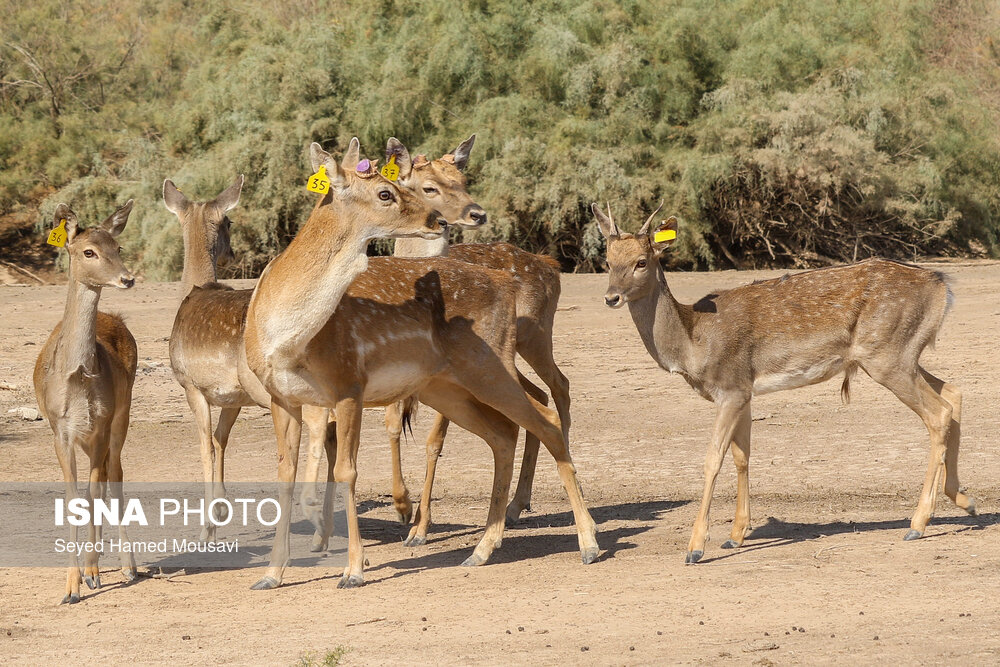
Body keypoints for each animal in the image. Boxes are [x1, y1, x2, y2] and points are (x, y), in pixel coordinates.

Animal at [34, 201, 139, 604]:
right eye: (88, 251)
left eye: (118, 246)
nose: (128, 278)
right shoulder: (59, 430)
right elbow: (73, 496)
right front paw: (71, 587)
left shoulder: (101, 424)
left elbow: (94, 490)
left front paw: (91, 574)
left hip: (123, 414)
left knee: (116, 475)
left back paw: (128, 566)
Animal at [245, 142, 596, 588]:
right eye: (385, 192)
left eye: (395, 182)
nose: (438, 219)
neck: (287, 340)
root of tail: (509, 281)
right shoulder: (282, 397)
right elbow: (284, 473)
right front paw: (271, 574)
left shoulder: (348, 383)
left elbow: (347, 470)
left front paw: (355, 570)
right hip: (444, 387)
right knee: (504, 432)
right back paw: (482, 549)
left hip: (490, 364)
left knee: (545, 416)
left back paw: (588, 543)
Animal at [592, 206, 976, 568]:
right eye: (607, 261)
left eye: (642, 262)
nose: (610, 297)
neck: (694, 342)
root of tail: (942, 285)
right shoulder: (744, 391)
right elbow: (742, 456)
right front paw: (735, 536)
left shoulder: (730, 387)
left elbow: (712, 459)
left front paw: (696, 547)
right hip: (901, 355)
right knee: (952, 392)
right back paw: (964, 500)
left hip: (887, 355)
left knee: (938, 413)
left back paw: (918, 523)